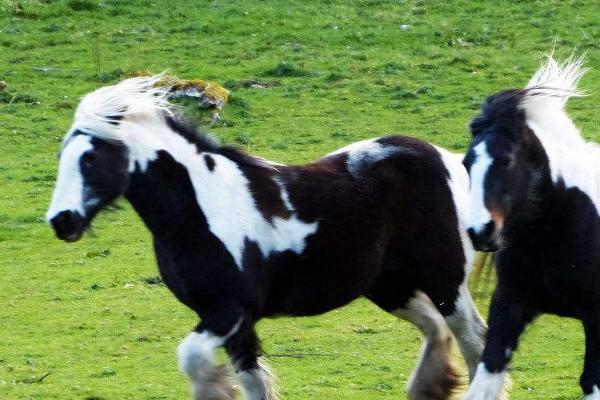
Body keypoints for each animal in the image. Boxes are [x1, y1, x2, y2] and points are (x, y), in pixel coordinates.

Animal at [47, 76, 488, 400]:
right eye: (63, 155)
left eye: (91, 158)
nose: (61, 221)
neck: (201, 208)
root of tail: (450, 160)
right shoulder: (231, 322)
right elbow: (252, 382)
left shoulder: (230, 309)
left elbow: (193, 359)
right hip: (389, 285)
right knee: (438, 330)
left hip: (445, 279)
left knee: (475, 341)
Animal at [462, 54, 596, 398]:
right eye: (467, 162)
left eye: (507, 160)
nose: (480, 232)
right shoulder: (510, 305)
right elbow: (486, 374)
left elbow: (591, 381)